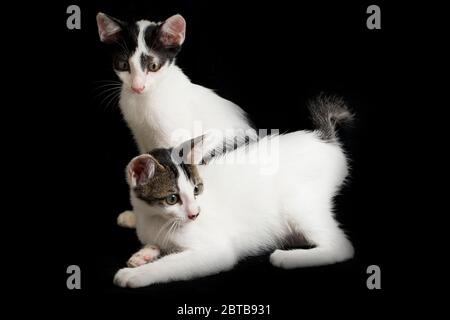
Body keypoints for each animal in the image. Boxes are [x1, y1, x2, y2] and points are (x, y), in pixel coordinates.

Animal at [96, 12, 255, 228]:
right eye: (123, 64)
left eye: (153, 66)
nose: (137, 87)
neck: (144, 100)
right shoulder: (140, 136)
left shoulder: (175, 137)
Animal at [112, 95, 356, 288]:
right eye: (172, 199)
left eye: (197, 190)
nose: (195, 214)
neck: (155, 219)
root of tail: (323, 139)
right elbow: (157, 245)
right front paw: (143, 254)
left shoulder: (216, 251)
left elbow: (172, 263)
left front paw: (135, 274)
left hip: (298, 203)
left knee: (342, 247)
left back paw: (287, 258)